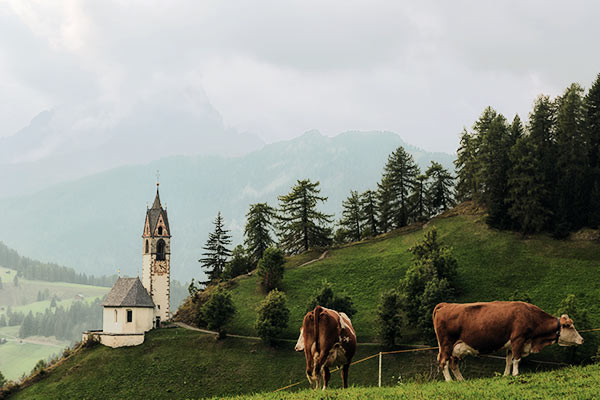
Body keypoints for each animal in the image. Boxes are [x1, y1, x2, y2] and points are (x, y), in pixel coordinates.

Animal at [434, 300, 584, 382]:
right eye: (569, 326)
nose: (582, 339)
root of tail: (445, 305)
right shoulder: (518, 339)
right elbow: (516, 360)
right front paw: (516, 374)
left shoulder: (511, 345)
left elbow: (508, 361)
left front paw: (506, 375)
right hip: (446, 344)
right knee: (443, 362)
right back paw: (449, 381)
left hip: (455, 349)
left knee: (453, 364)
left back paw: (461, 380)